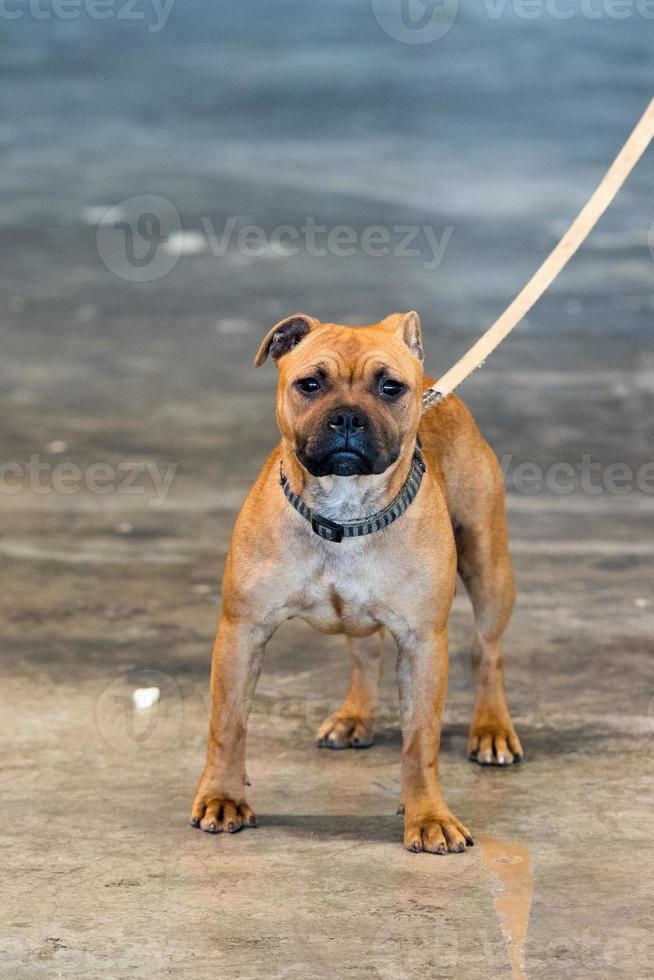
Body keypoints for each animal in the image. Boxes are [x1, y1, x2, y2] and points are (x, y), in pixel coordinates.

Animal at [190, 312, 524, 848]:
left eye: (391, 387)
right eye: (310, 384)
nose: (347, 417)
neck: (345, 511)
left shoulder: (423, 643)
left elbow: (420, 742)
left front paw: (428, 815)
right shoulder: (242, 632)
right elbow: (228, 726)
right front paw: (223, 797)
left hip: (489, 567)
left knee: (486, 653)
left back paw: (492, 729)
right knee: (365, 651)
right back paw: (353, 716)